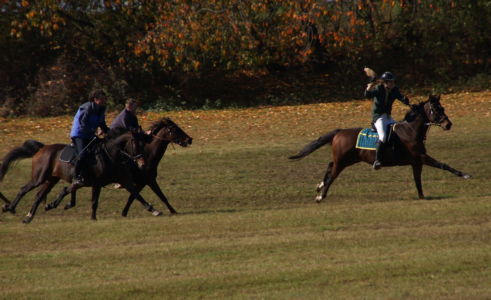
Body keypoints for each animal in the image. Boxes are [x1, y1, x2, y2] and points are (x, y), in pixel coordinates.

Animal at [0, 127, 162, 223]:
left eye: (143, 143)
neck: (110, 155)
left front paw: (154, 210)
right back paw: (10, 207)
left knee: (39, 195)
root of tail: (42, 148)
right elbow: (88, 198)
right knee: (24, 189)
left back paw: (29, 216)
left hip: (51, 179)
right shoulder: (89, 182)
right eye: (135, 143)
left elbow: (136, 195)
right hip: (39, 178)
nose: (142, 163)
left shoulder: (122, 181)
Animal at [45, 117, 192, 216]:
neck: (148, 154)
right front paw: (172, 211)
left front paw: (124, 212)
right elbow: (160, 196)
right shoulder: (148, 180)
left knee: (70, 188)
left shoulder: (139, 182)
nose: (189, 139)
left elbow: (133, 196)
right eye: (175, 129)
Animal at [290, 94, 470, 202]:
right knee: (333, 174)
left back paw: (319, 187)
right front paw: (464, 175)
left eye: (443, 108)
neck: (411, 130)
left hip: (347, 160)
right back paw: (321, 196)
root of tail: (339, 132)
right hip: (342, 161)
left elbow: (417, 180)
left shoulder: (416, 162)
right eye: (434, 109)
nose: (448, 124)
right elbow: (443, 165)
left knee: (329, 166)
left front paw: (421, 197)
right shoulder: (422, 158)